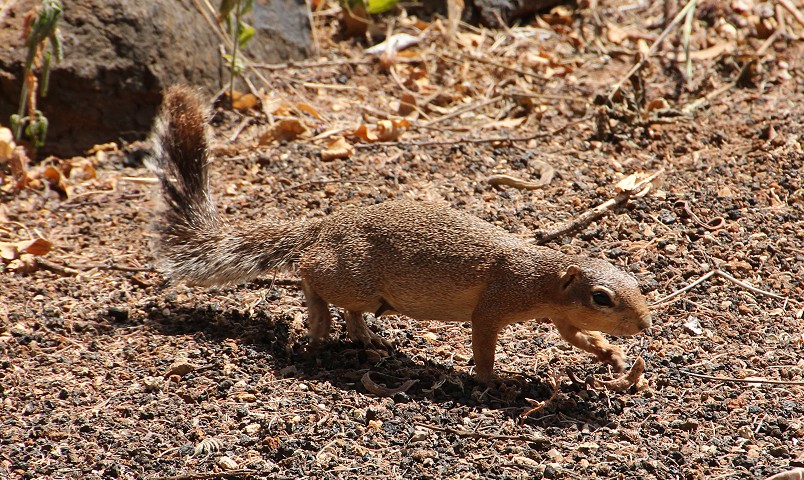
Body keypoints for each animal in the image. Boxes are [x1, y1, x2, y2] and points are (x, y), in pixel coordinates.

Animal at [148, 86, 652, 384]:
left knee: (351, 311)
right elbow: (483, 343)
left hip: (364, 291)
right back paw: (320, 325)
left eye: (635, 283)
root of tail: (323, 227)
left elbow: (578, 339)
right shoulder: (493, 306)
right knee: (312, 279)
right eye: (602, 298)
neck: (541, 277)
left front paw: (611, 356)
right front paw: (490, 381)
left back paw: (367, 339)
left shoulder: (561, 318)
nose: (646, 324)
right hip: (348, 274)